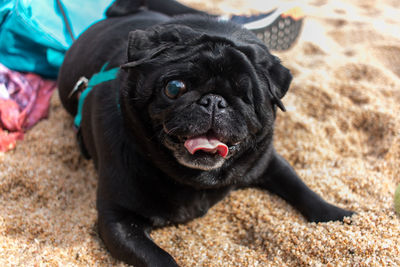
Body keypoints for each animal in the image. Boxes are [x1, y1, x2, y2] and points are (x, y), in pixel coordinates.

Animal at [57, 1, 354, 266]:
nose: (214, 101)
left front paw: (341, 216)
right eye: (174, 87)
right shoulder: (118, 220)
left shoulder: (269, 162)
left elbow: (303, 190)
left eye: (246, 96)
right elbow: (161, 259)